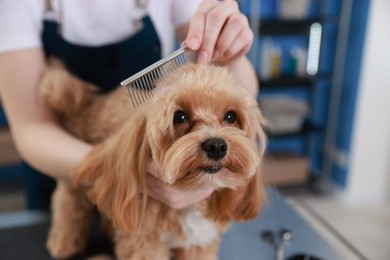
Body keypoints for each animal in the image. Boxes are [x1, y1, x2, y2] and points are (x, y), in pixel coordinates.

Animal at [38, 62, 266, 258]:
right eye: (179, 116)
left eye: (230, 116)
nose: (216, 146)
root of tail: (89, 105)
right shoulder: (144, 242)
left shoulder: (200, 240)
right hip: (78, 183)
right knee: (68, 204)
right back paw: (63, 243)